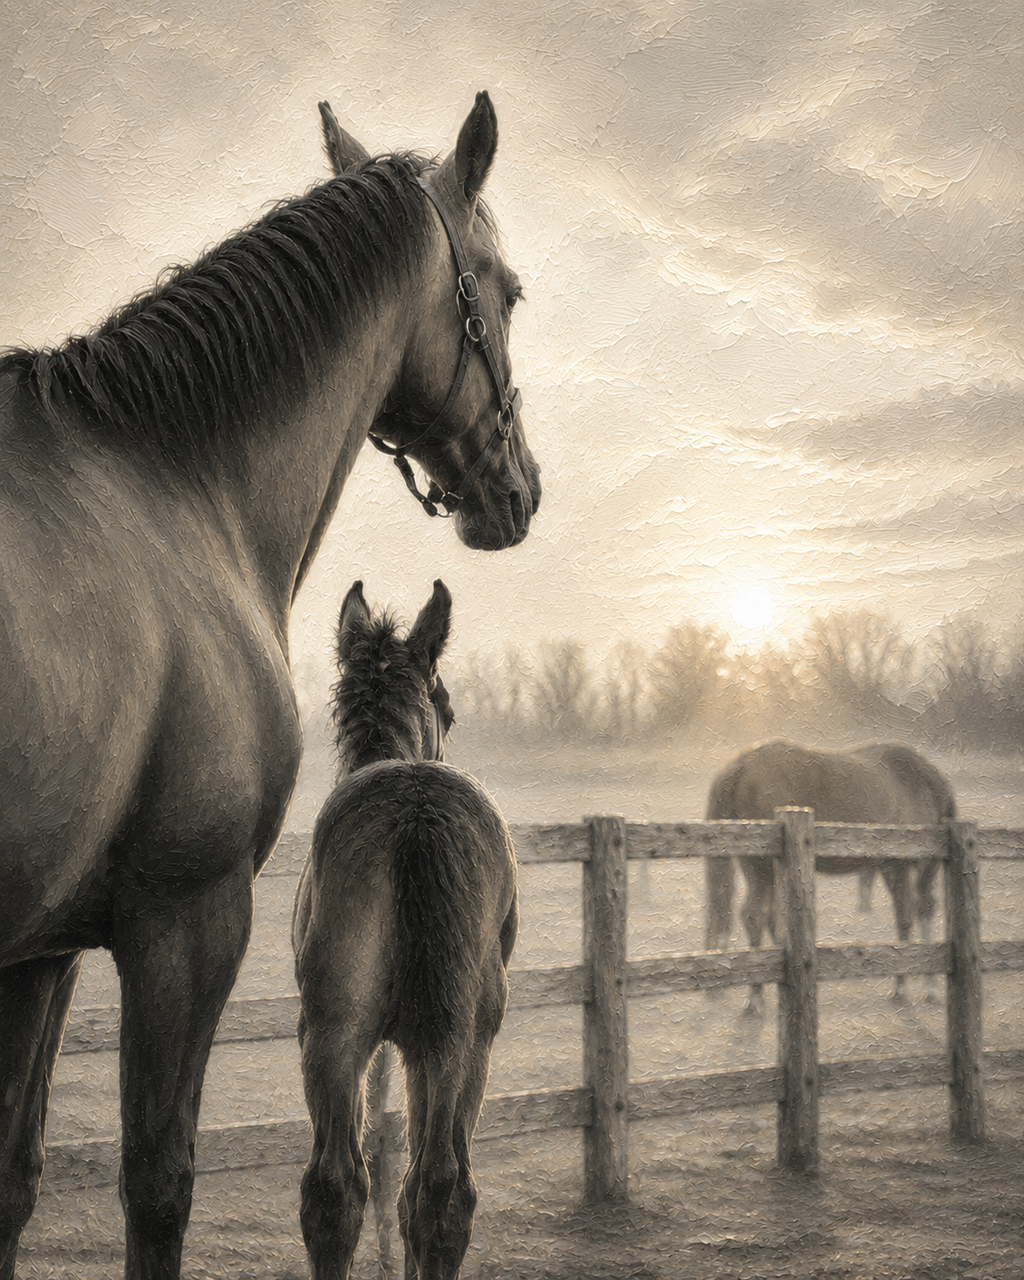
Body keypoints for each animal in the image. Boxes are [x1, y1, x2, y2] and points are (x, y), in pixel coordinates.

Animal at [293, 580, 517, 1280]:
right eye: (448, 706)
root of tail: (416, 813)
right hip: (458, 1037)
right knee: (435, 1188)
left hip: (339, 1032)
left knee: (345, 1185)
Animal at [704, 740, 955, 1014]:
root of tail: (742, 767)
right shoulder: (903, 864)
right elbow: (908, 917)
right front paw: (907, 988)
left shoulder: (894, 865)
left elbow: (906, 916)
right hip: (761, 867)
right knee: (755, 915)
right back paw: (756, 999)